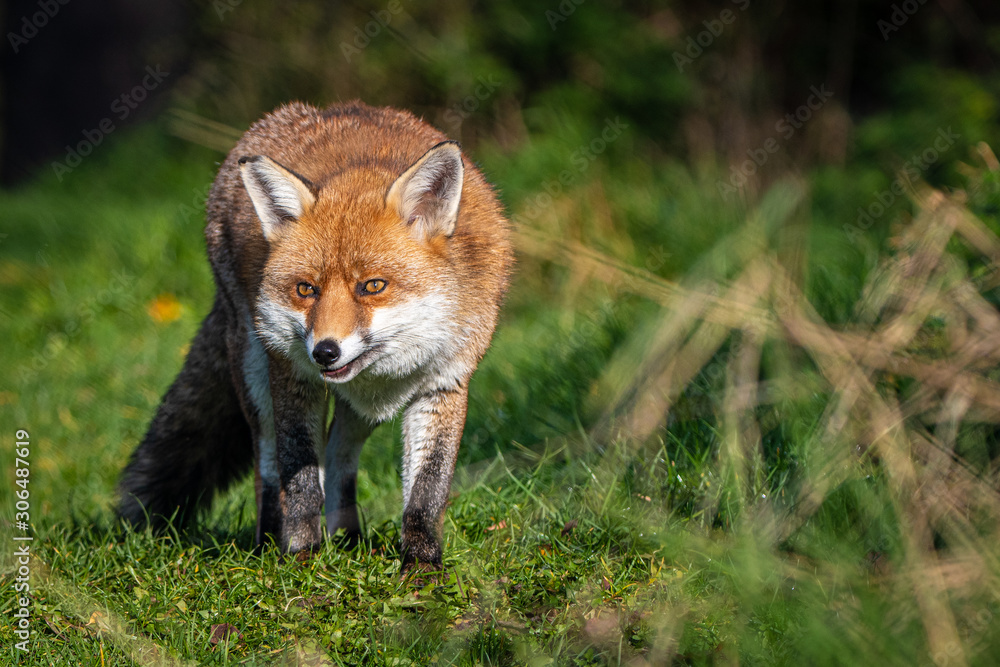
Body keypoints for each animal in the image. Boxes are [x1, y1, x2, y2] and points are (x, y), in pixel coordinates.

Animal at [118, 100, 513, 572]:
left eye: (373, 286)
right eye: (307, 289)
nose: (325, 352)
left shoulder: (445, 382)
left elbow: (425, 494)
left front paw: (421, 569)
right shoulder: (293, 377)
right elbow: (301, 478)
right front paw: (303, 559)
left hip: (363, 408)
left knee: (339, 451)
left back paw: (347, 538)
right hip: (255, 374)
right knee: (269, 466)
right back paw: (270, 543)